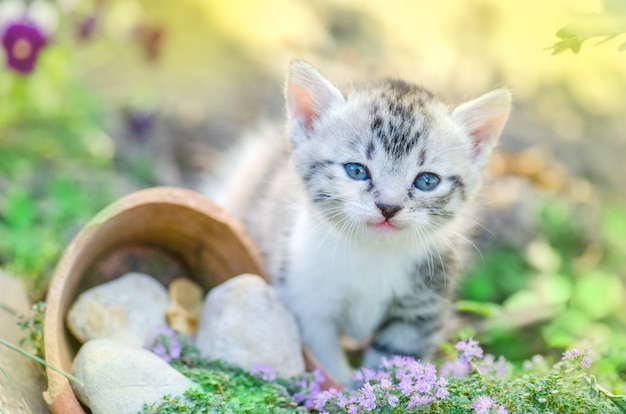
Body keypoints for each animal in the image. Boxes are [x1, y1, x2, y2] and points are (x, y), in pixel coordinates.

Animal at [207, 61, 510, 384]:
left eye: (427, 181)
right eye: (356, 170)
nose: (389, 207)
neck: (372, 253)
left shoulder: (420, 308)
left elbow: (395, 358)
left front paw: (385, 387)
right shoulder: (306, 297)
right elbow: (324, 359)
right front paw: (344, 387)